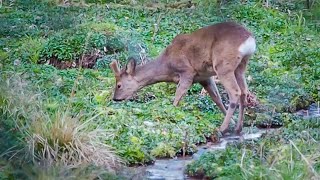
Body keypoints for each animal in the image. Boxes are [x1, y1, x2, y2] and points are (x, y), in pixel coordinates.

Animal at [109, 21, 255, 134]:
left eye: (119, 85)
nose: (115, 98)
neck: (167, 65)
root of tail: (249, 40)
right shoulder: (204, 77)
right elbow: (216, 98)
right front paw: (232, 121)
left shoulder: (187, 71)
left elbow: (178, 95)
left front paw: (171, 114)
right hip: (240, 67)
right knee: (244, 92)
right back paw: (238, 128)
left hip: (223, 65)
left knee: (235, 92)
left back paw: (222, 129)